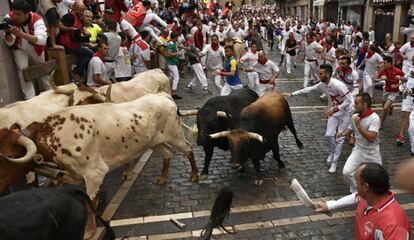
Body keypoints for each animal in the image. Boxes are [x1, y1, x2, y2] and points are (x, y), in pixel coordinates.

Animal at [0, 93, 199, 200]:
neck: (52, 134)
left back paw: (194, 175)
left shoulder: (94, 174)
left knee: (189, 149)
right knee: (167, 154)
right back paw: (162, 178)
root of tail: (161, 95)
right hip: (154, 142)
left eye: (9, 155)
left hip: (175, 136)